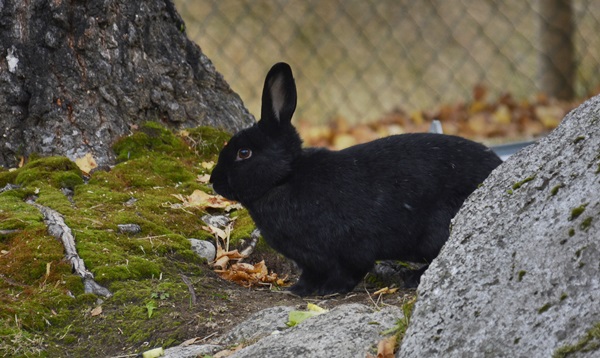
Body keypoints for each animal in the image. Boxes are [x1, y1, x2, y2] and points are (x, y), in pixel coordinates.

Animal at [211, 62, 502, 296]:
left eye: (244, 153)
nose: (214, 181)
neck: (285, 177)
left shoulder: (351, 246)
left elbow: (350, 270)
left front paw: (329, 290)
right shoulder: (309, 260)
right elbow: (310, 274)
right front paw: (298, 290)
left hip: (441, 225)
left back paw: (413, 278)